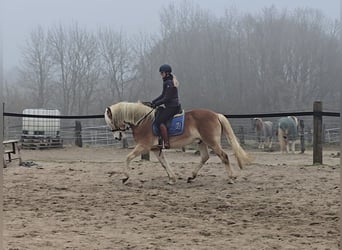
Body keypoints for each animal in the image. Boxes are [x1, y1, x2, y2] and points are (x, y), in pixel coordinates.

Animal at [105, 100, 252, 185]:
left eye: (111, 121)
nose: (117, 137)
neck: (143, 121)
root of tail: (216, 115)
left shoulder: (143, 146)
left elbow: (127, 157)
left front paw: (125, 177)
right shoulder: (155, 148)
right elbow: (164, 163)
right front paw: (172, 178)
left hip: (212, 142)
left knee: (224, 156)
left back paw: (231, 178)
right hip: (201, 142)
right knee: (205, 157)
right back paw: (191, 177)